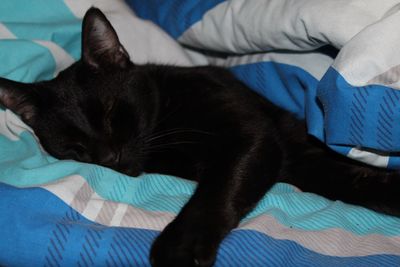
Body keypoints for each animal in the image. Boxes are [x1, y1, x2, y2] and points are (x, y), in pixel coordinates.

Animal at [0, 7, 398, 266]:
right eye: (74, 147)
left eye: (112, 112)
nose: (109, 157)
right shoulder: (291, 157)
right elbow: (347, 179)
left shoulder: (249, 135)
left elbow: (216, 190)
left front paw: (179, 249)